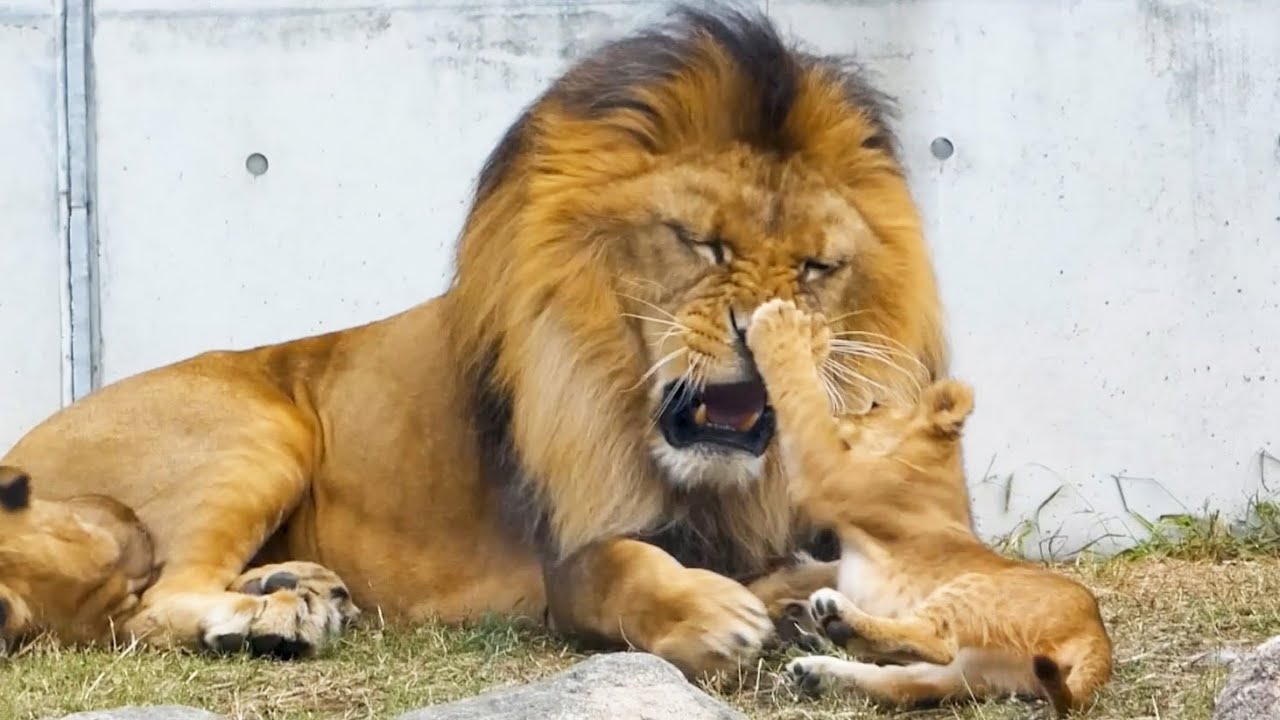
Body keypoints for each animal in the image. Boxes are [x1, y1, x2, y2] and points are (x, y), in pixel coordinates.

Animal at [743, 300, 1114, 715]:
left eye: (874, 405)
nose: (844, 414)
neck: (935, 462)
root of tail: (1097, 635)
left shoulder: (829, 472)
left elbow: (802, 398)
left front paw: (778, 324)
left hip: (973, 592)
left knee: (934, 639)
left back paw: (835, 619)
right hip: (971, 672)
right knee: (902, 684)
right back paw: (817, 668)